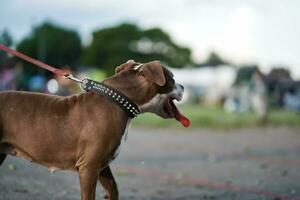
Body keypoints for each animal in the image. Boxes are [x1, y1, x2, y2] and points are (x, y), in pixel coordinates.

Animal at [0, 59, 184, 200]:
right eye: (172, 78)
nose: (183, 86)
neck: (118, 101)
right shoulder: (89, 167)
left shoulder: (101, 166)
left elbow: (114, 189)